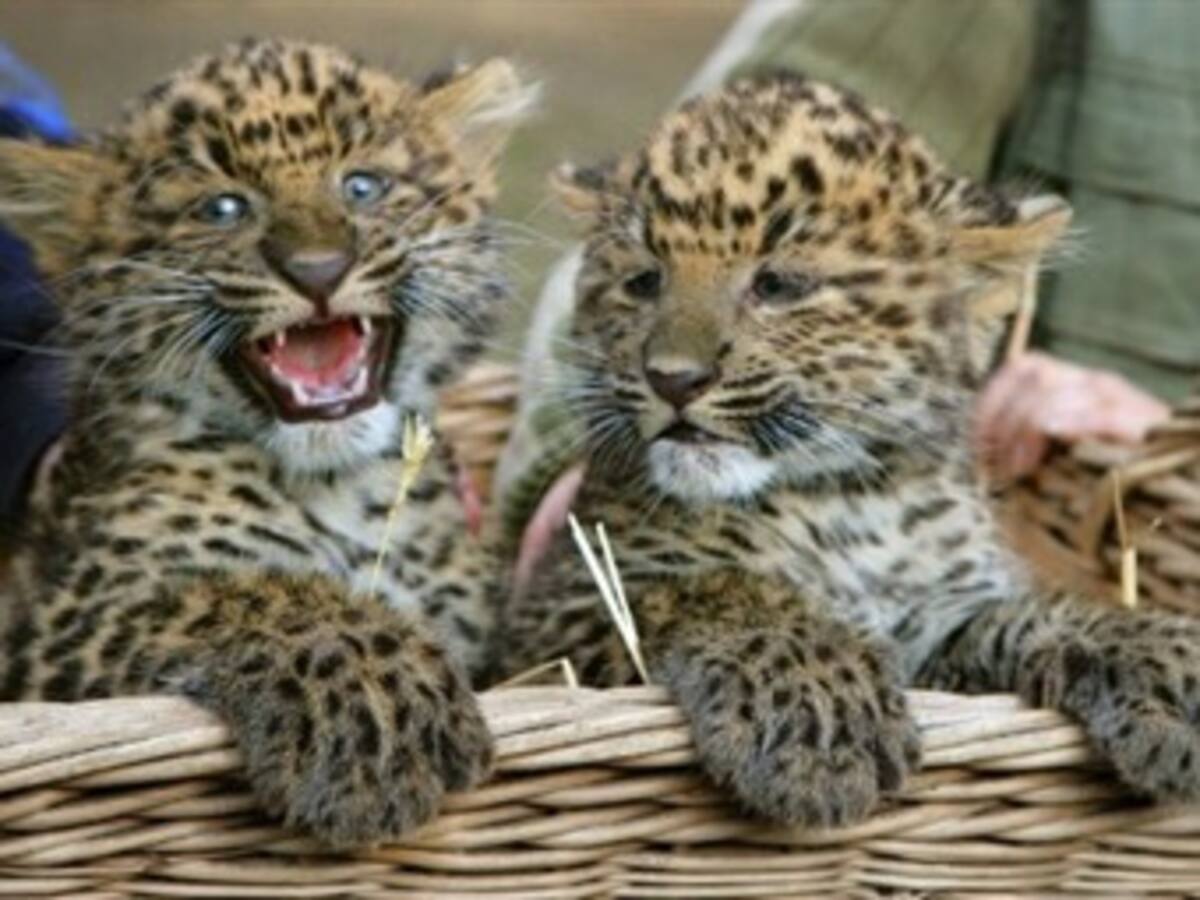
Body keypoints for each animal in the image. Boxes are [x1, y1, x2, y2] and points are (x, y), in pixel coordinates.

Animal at [0, 38, 536, 847]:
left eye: (364, 186)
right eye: (222, 208)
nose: (318, 270)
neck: (343, 490)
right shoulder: (61, 631)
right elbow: (247, 593)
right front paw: (376, 707)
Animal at [497, 71, 1200, 828]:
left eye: (778, 285)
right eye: (644, 280)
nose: (673, 379)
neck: (854, 503)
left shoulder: (938, 627)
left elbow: (1024, 616)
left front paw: (1157, 652)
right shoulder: (555, 625)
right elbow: (708, 588)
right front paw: (818, 707)